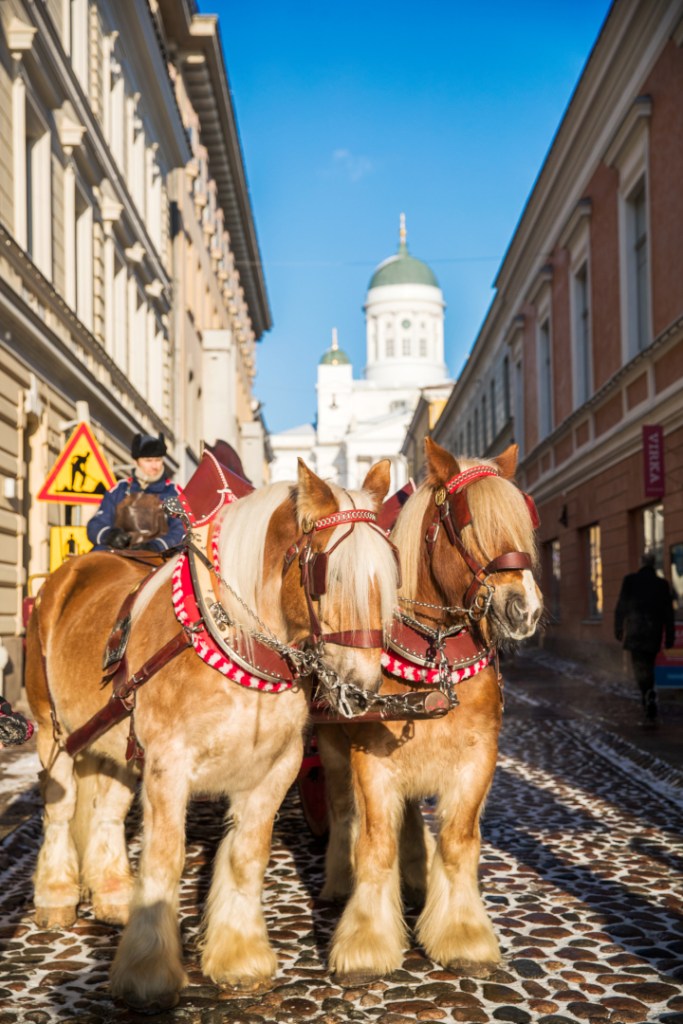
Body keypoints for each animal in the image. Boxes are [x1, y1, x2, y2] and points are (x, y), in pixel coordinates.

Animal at [24, 458, 399, 1011]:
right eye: (327, 575)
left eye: (389, 577)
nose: (362, 689)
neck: (236, 643)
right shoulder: (168, 765)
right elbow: (166, 860)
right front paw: (147, 973)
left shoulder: (275, 769)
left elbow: (246, 857)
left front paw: (239, 958)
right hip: (53, 731)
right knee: (60, 808)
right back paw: (55, 896)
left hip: (115, 745)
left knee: (106, 813)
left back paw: (113, 896)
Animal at [316, 438, 543, 984]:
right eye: (467, 522)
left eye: (526, 519)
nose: (525, 609)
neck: (433, 661)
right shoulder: (371, 760)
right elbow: (375, 843)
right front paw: (366, 942)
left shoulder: (478, 757)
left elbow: (457, 841)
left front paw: (463, 934)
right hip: (332, 749)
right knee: (342, 810)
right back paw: (339, 881)